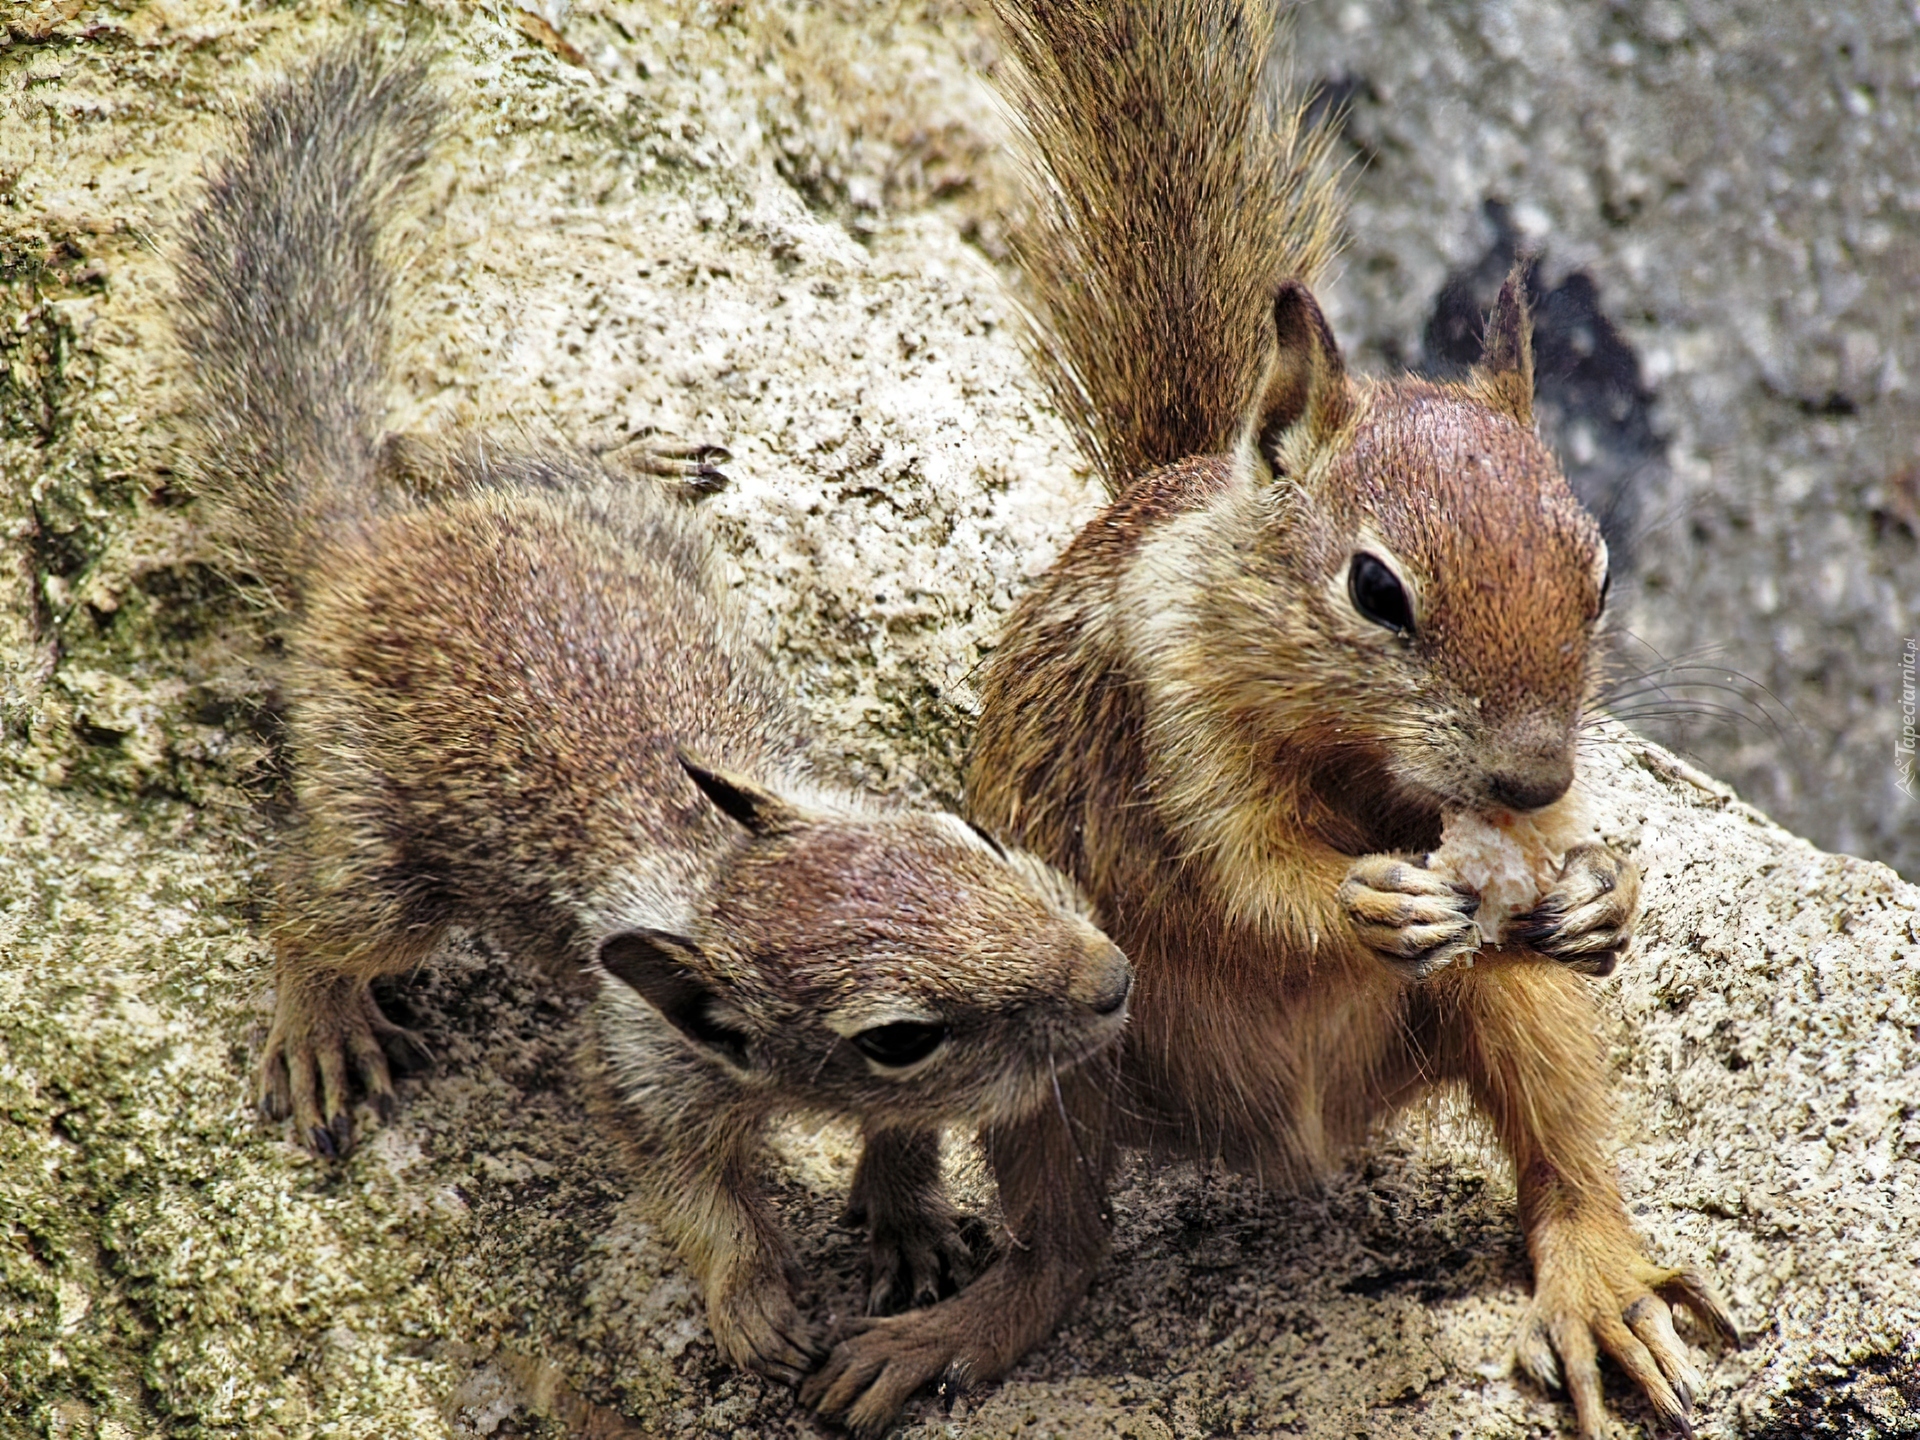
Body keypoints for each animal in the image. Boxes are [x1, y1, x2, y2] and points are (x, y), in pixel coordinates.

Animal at [806, 2, 1743, 1440]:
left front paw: (1603, 890)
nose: (1530, 782)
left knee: (1563, 1154)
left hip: (1508, 1012)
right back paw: (950, 1326)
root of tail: (1278, 1144)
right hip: (1050, 1064)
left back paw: (1599, 1288)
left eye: (1596, 576)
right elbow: (1242, 873)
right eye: (1375, 589)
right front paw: (1369, 902)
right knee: (1063, 1247)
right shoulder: (1171, 727)